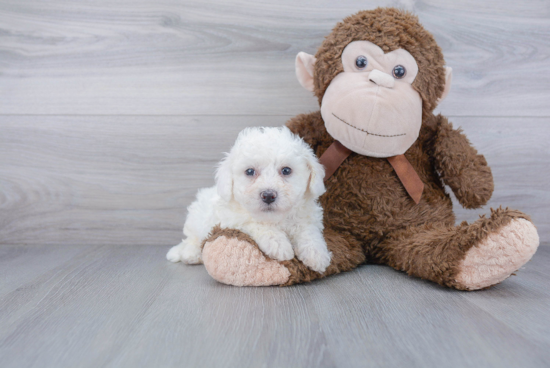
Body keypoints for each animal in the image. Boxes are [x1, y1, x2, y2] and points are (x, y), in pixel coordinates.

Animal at [167, 126, 332, 274]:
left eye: (286, 170)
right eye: (250, 171)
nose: (268, 195)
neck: (275, 219)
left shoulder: (306, 218)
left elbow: (308, 231)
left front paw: (317, 254)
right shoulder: (232, 219)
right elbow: (256, 224)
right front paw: (278, 244)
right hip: (196, 219)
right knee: (192, 238)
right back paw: (190, 254)